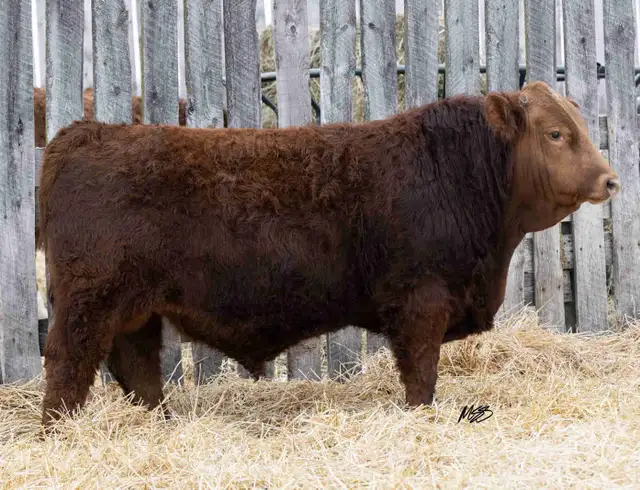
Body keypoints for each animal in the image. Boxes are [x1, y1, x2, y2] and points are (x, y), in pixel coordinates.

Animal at [37, 81, 619, 427]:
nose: (610, 180)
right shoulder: (421, 300)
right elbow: (421, 373)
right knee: (67, 361)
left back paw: (161, 423)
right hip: (90, 298)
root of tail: (84, 132)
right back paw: (58, 431)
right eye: (555, 133)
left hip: (136, 307)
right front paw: (420, 419)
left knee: (137, 367)